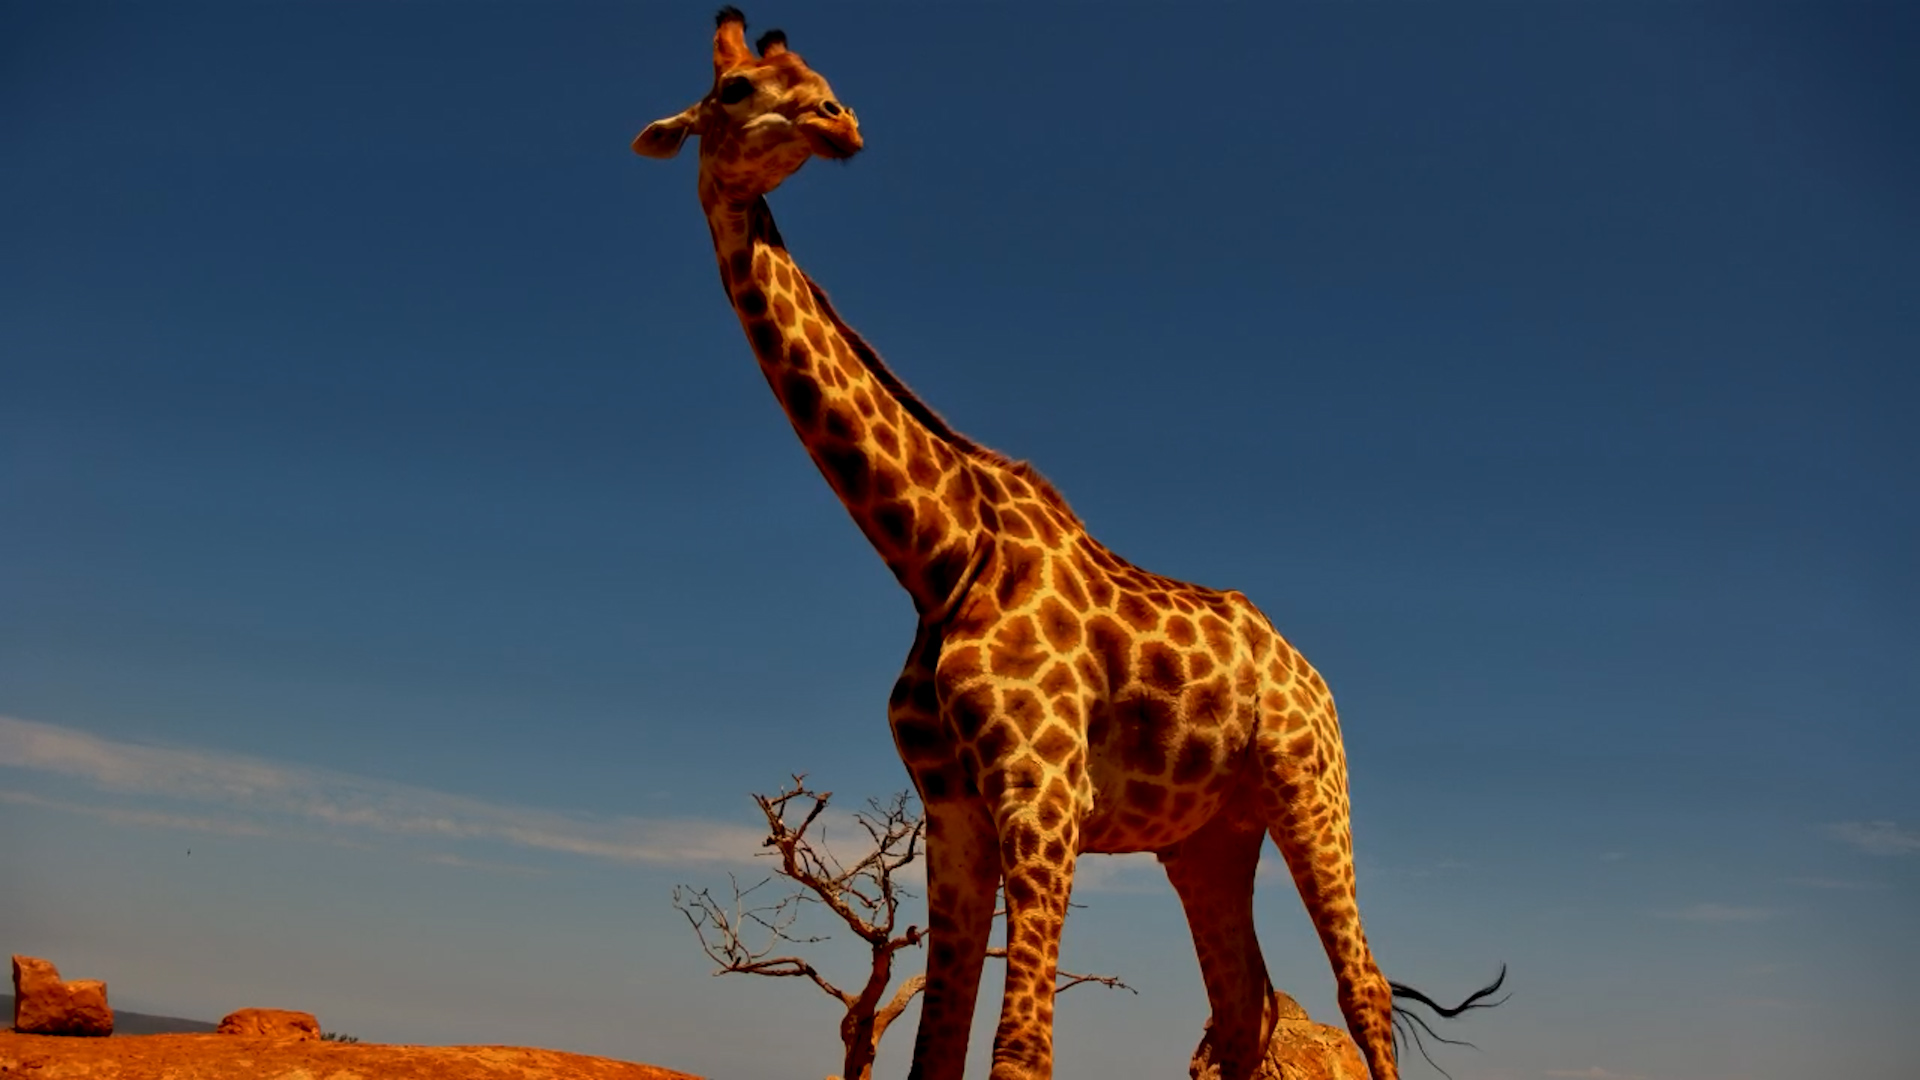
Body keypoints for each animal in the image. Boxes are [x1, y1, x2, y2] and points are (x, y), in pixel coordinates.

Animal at [633, 11, 1499, 1080]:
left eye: (816, 78)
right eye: (736, 90)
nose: (841, 122)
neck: (934, 555)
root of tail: (1310, 671)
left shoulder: (1042, 796)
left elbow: (1020, 1052)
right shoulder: (953, 810)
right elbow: (937, 1048)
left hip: (1310, 785)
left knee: (1364, 985)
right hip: (1209, 837)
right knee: (1242, 1005)